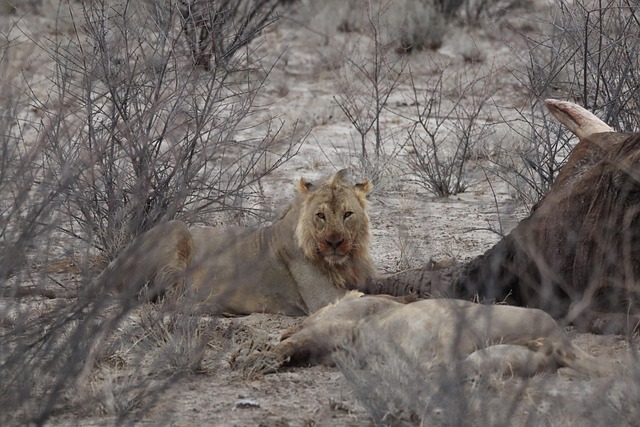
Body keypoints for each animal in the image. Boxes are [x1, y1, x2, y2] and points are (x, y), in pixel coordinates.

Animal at [91, 169, 375, 315]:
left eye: (347, 214)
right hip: (176, 229)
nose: (335, 242)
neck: (344, 261)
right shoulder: (321, 298)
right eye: (320, 216)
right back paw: (215, 306)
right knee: (166, 301)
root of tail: (109, 267)